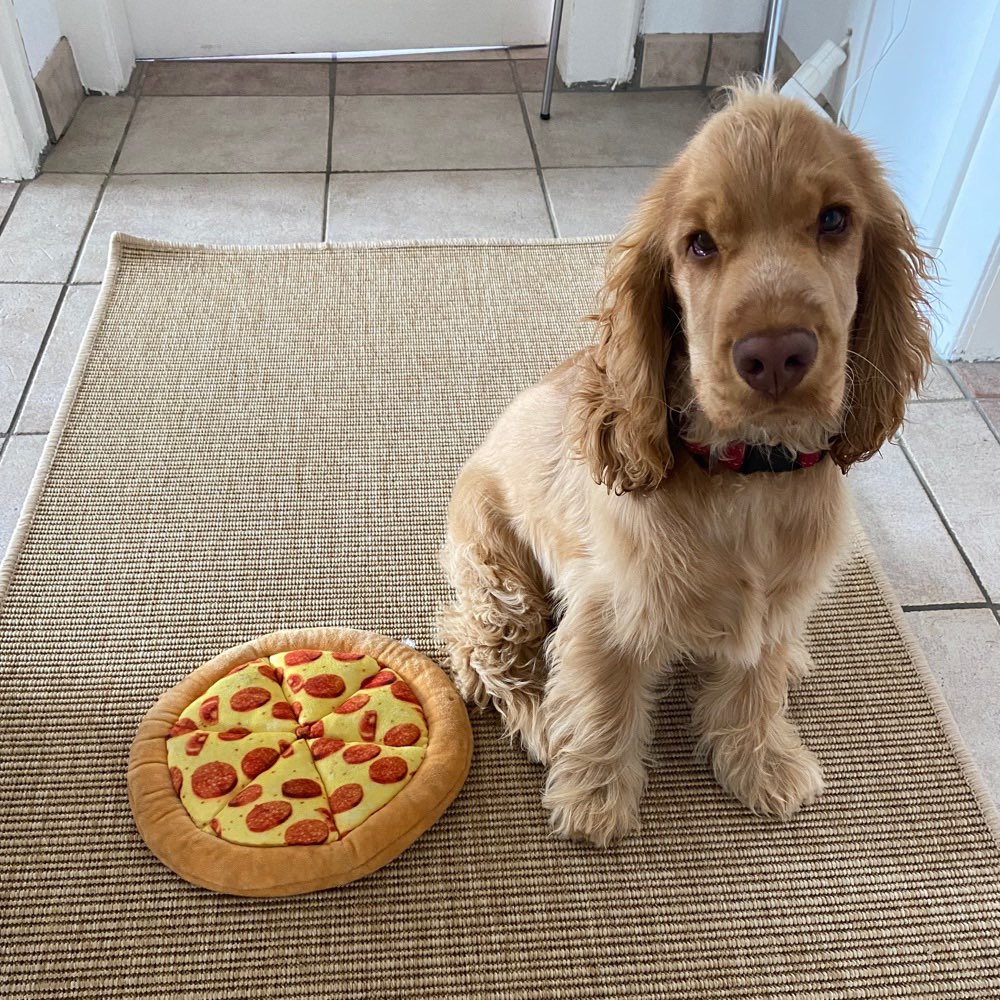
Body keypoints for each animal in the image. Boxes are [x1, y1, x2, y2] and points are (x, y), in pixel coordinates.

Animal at [438, 84, 928, 844]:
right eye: (699, 243)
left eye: (834, 220)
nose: (776, 355)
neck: (750, 473)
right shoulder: (609, 608)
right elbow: (604, 703)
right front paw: (595, 799)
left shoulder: (775, 606)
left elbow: (754, 684)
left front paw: (762, 763)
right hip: (499, 576)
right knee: (479, 650)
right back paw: (542, 720)